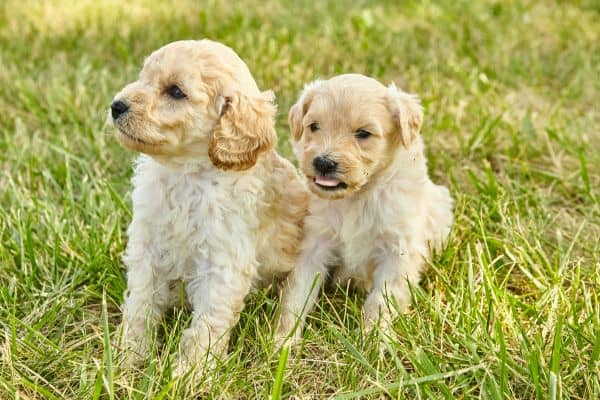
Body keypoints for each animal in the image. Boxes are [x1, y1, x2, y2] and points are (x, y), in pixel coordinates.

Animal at [110, 39, 310, 374]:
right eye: (143, 77)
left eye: (176, 91)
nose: (116, 105)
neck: (186, 174)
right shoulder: (148, 249)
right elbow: (140, 305)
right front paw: (128, 358)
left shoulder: (222, 264)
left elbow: (207, 325)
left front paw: (188, 374)